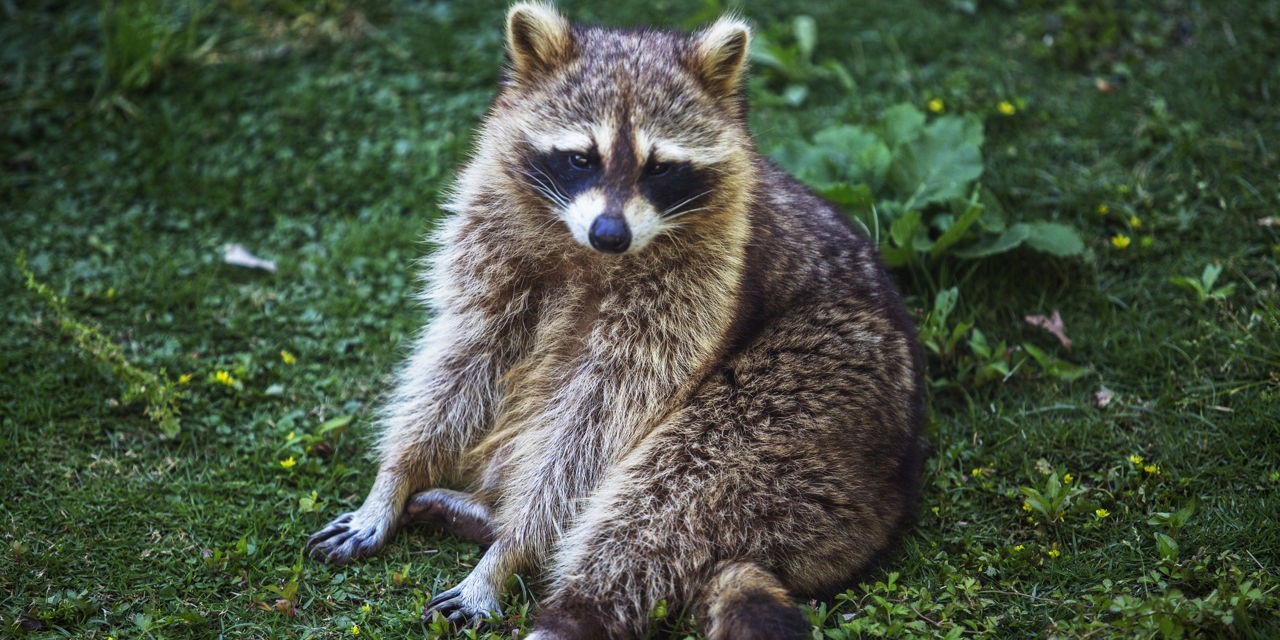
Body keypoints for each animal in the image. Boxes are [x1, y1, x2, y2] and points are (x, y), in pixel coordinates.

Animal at [307, 3, 924, 639]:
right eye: (581, 158)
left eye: (661, 168)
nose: (610, 233)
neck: (589, 253)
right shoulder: (489, 241)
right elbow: (464, 355)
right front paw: (394, 479)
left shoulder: (696, 295)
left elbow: (595, 428)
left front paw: (508, 555)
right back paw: (486, 515)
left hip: (814, 389)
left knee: (674, 489)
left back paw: (557, 596)